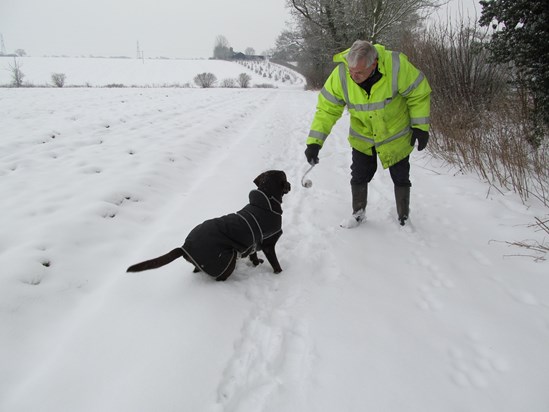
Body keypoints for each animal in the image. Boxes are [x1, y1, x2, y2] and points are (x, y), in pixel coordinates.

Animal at [126, 170, 288, 280]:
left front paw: (256, 263)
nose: (290, 184)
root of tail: (184, 247)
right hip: (227, 258)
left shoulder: (253, 242)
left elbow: (253, 255)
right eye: (286, 180)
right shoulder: (268, 246)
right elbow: (275, 263)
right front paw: (280, 274)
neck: (265, 202)